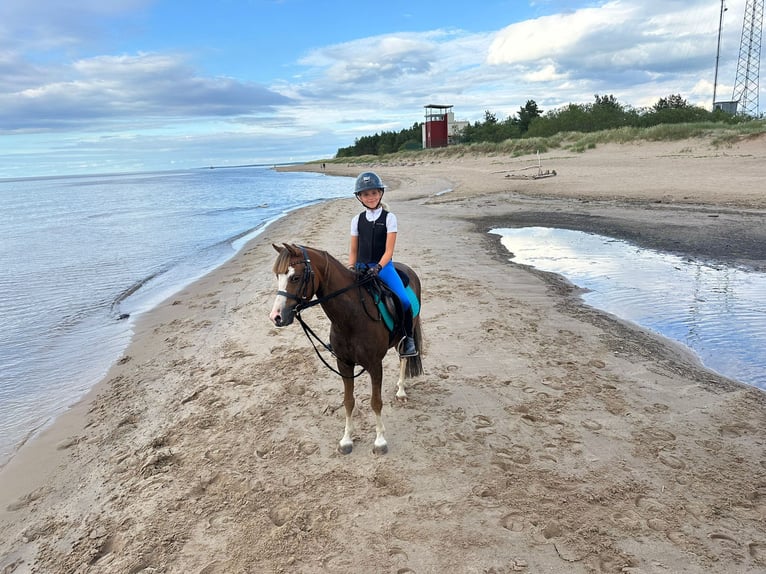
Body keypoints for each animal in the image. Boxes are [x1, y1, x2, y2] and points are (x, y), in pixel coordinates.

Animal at [269, 243, 423, 455]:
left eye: (295, 277)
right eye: (278, 276)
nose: (276, 317)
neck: (352, 316)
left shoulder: (375, 365)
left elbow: (376, 402)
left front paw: (380, 441)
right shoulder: (344, 364)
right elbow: (348, 401)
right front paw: (346, 440)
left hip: (405, 334)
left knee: (403, 357)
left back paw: (401, 391)